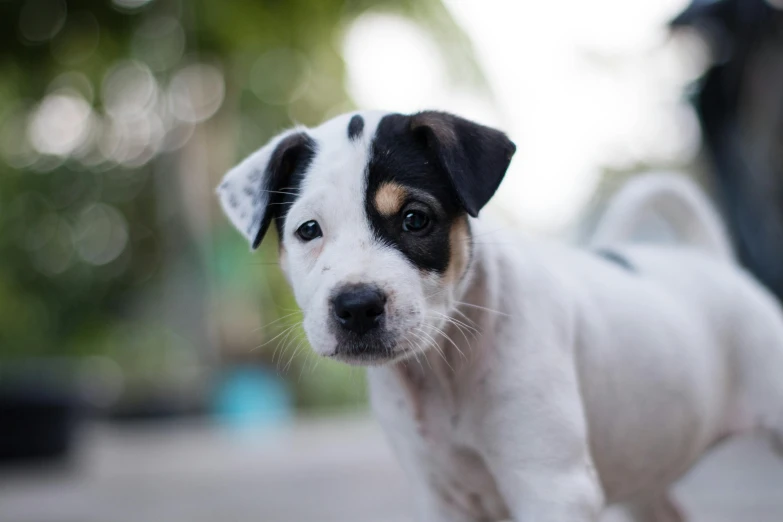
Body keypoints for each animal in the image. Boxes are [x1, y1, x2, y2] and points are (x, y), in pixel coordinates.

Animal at [217, 110, 783, 520]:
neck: (442, 370)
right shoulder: (441, 499)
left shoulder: (553, 487)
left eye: (415, 219)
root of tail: (712, 260)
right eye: (308, 230)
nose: (356, 306)